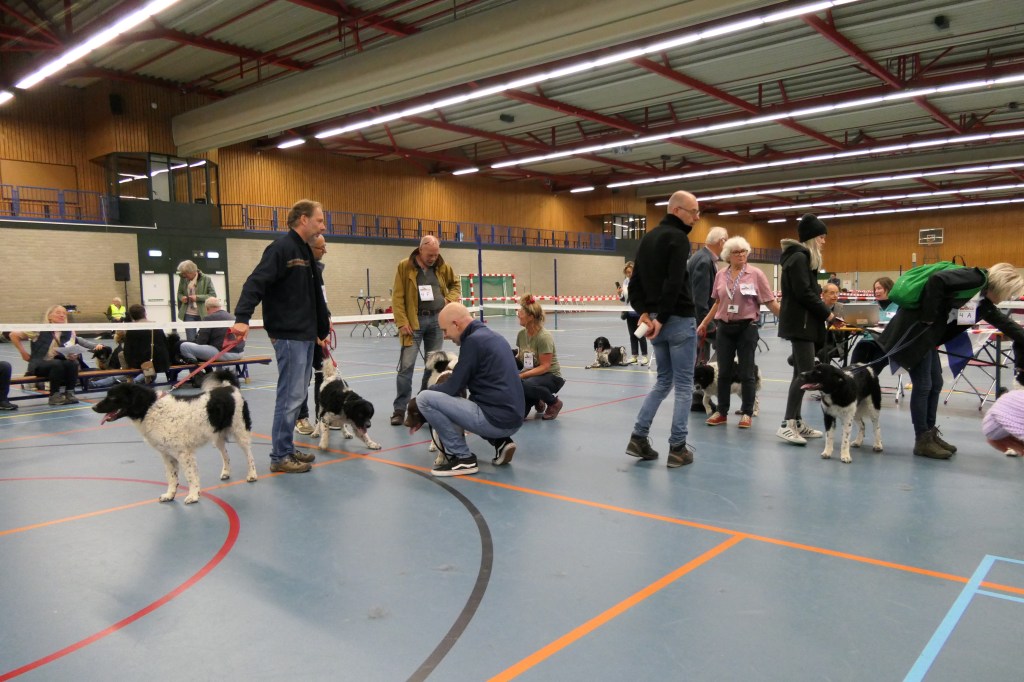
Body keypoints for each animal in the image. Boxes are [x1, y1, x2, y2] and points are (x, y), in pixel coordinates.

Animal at [92, 370, 257, 504]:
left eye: (112, 397)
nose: (94, 407)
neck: (150, 408)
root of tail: (229, 388)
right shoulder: (167, 455)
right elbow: (171, 477)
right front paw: (170, 495)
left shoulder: (184, 453)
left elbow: (190, 476)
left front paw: (193, 495)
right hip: (217, 437)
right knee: (225, 455)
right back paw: (226, 472)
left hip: (240, 432)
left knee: (249, 455)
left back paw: (252, 475)